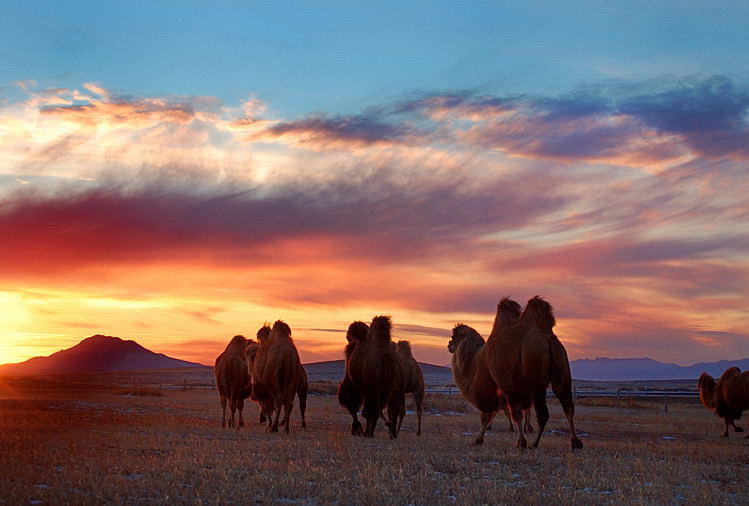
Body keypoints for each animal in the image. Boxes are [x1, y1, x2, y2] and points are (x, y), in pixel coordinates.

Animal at [486, 294, 584, 448]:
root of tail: (549, 339)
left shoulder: (510, 386)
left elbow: (515, 412)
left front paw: (521, 442)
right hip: (561, 372)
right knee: (567, 407)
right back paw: (575, 442)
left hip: (536, 381)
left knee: (540, 413)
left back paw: (532, 443)